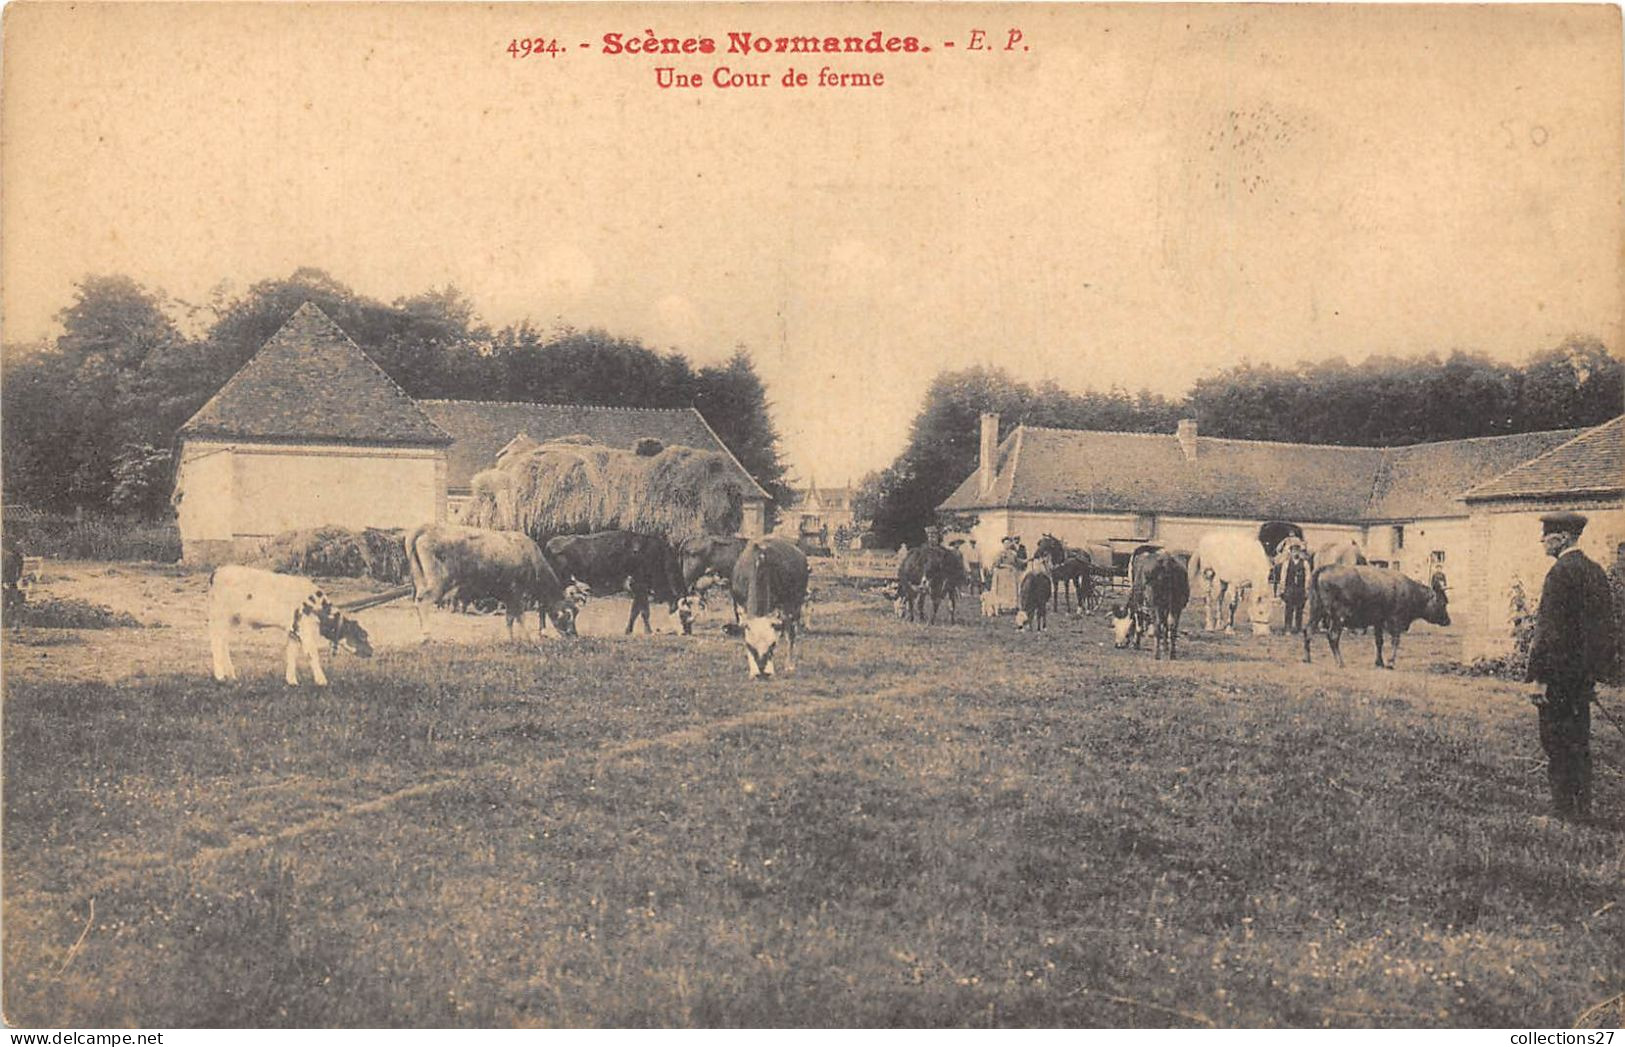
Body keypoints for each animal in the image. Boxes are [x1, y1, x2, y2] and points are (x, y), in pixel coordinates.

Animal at [208, 565, 372, 686]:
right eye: (362, 635)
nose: (372, 652)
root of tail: (218, 571)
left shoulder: (293, 631)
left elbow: (291, 654)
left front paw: (292, 681)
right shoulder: (305, 629)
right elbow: (312, 654)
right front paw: (322, 681)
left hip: (232, 620)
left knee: (224, 643)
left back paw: (231, 675)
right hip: (221, 616)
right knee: (216, 642)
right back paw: (220, 676)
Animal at [406, 520, 585, 640]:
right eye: (567, 615)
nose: (574, 636)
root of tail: (428, 528)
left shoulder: (507, 594)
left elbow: (509, 618)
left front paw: (511, 639)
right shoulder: (516, 592)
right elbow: (519, 616)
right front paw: (526, 638)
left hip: (420, 579)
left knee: (418, 600)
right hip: (438, 581)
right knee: (423, 601)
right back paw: (426, 636)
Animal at [542, 526, 676, 634]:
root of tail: (550, 544)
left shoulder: (638, 590)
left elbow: (635, 611)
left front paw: (629, 630)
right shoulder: (639, 586)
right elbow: (643, 611)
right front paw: (648, 631)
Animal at [731, 539, 812, 679]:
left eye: (772, 645)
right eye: (749, 646)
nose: (763, 673)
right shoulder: (740, 605)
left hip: (795, 602)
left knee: (791, 633)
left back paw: (790, 664)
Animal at [1300, 569, 1456, 666]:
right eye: (1443, 602)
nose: (1448, 620)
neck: (1409, 591)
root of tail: (1323, 569)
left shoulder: (1378, 623)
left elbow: (1379, 642)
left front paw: (1379, 662)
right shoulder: (1395, 621)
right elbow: (1395, 641)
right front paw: (1391, 662)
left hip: (1316, 611)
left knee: (1308, 631)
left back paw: (1307, 658)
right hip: (1338, 617)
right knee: (1332, 636)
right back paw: (1340, 662)